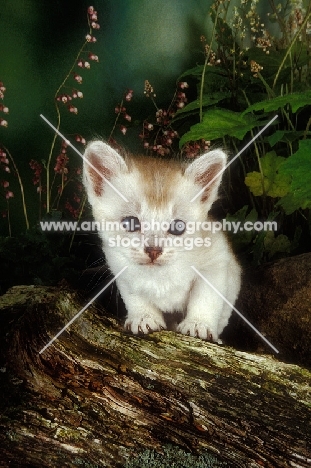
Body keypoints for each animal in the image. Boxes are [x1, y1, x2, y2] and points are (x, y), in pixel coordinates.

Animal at [83, 141, 241, 342]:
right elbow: (135, 296)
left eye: (178, 227)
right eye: (131, 222)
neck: (159, 275)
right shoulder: (120, 268)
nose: (153, 250)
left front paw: (198, 324)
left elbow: (206, 298)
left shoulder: (216, 261)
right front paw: (143, 317)